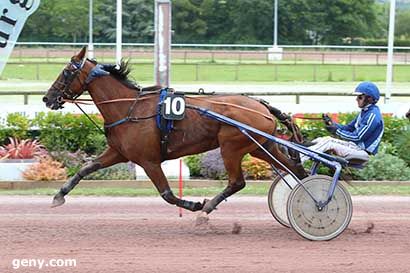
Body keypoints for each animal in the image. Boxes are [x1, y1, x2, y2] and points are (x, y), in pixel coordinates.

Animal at [43, 46, 306, 219]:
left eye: (66, 72)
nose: (47, 98)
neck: (130, 107)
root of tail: (263, 107)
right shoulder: (119, 152)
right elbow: (86, 168)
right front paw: (58, 196)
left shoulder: (148, 160)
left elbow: (167, 194)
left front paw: (195, 204)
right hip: (261, 147)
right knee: (295, 170)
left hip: (232, 146)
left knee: (237, 182)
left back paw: (207, 209)